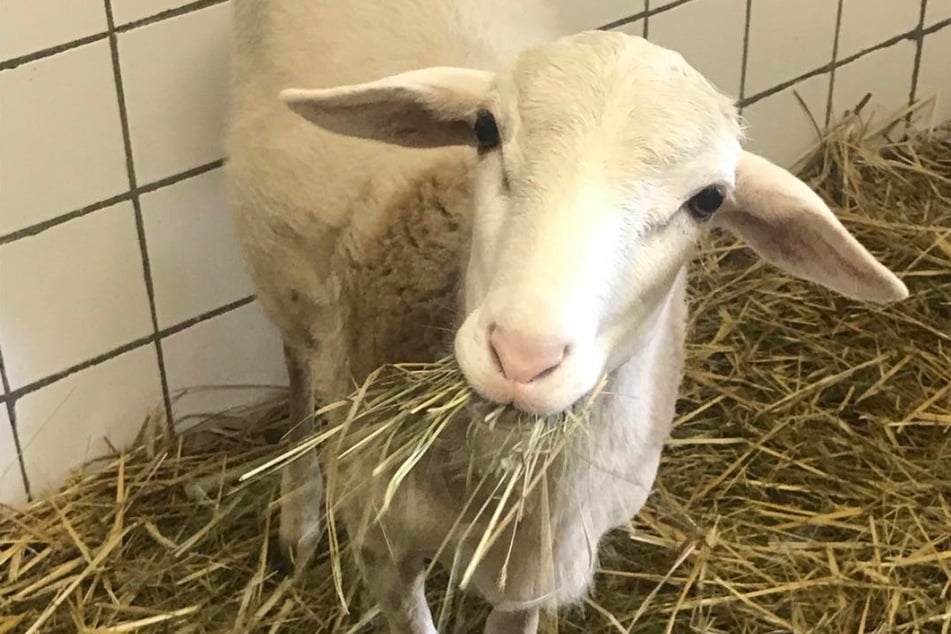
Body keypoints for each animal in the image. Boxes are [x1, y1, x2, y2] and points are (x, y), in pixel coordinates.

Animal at [221, 2, 908, 628]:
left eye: (709, 200)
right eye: (484, 130)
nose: (522, 360)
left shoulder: (533, 579)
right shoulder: (380, 540)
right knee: (300, 368)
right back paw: (299, 514)